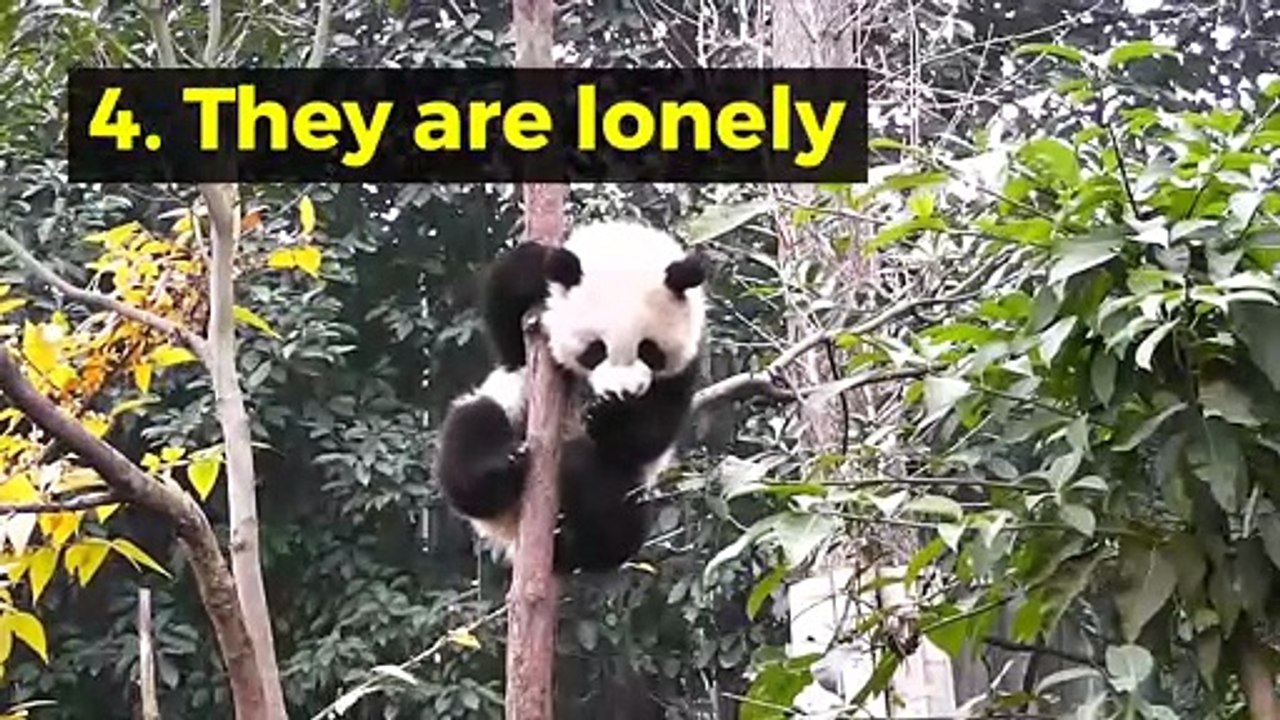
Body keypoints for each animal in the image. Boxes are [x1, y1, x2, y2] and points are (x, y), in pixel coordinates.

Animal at [433, 220, 709, 574]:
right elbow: (509, 334)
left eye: (649, 350)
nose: (622, 391)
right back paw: (499, 468)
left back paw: (571, 538)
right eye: (595, 350)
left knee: (614, 501)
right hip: (505, 409)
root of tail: (511, 529)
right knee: (470, 433)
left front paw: (609, 414)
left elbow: (652, 429)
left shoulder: (685, 364)